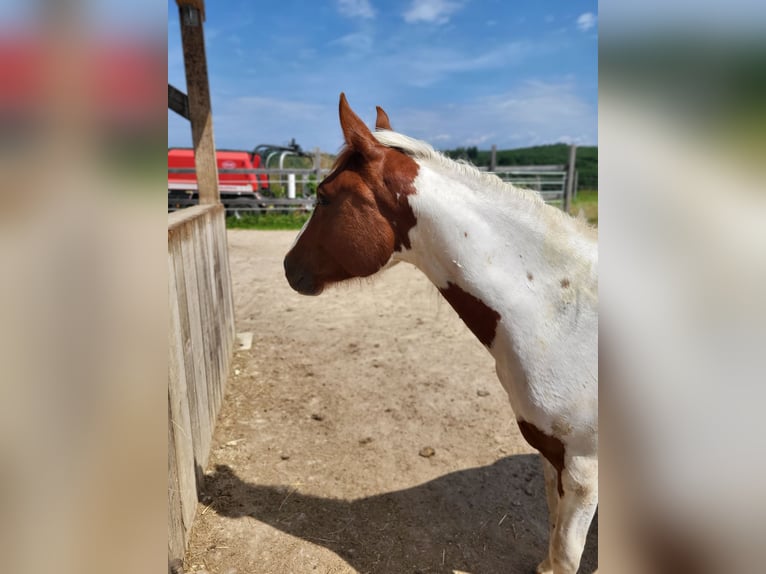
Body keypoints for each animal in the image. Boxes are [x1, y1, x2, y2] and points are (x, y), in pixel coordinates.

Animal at [284, 93, 598, 574]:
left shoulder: (583, 470)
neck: (563, 317)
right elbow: (553, 540)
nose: (287, 265)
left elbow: (565, 555)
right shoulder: (553, 456)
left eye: (323, 196)